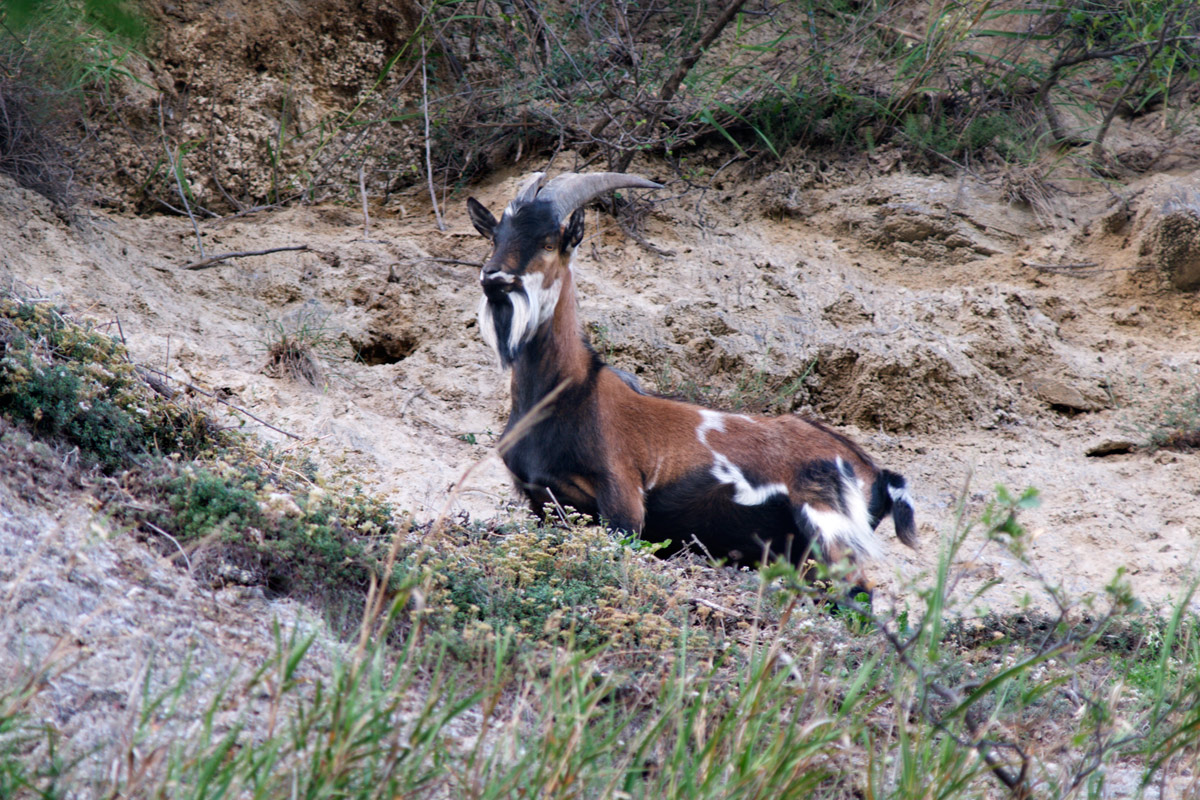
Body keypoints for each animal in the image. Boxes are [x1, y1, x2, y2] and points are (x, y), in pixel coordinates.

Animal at [468, 172, 916, 578]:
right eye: (495, 238)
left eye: (549, 242)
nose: (495, 279)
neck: (568, 392)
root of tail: (877, 474)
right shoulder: (539, 499)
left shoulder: (623, 502)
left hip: (829, 528)